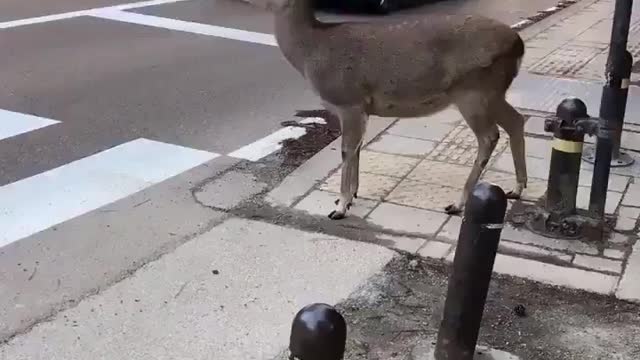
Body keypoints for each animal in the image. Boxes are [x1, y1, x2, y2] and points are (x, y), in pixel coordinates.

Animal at [270, 0, 524, 219]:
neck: (311, 55)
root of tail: (518, 45)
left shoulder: (349, 101)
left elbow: (346, 150)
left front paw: (340, 207)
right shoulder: (362, 109)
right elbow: (358, 148)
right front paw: (351, 196)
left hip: (473, 91)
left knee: (489, 135)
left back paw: (458, 203)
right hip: (492, 93)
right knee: (517, 120)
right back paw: (517, 188)